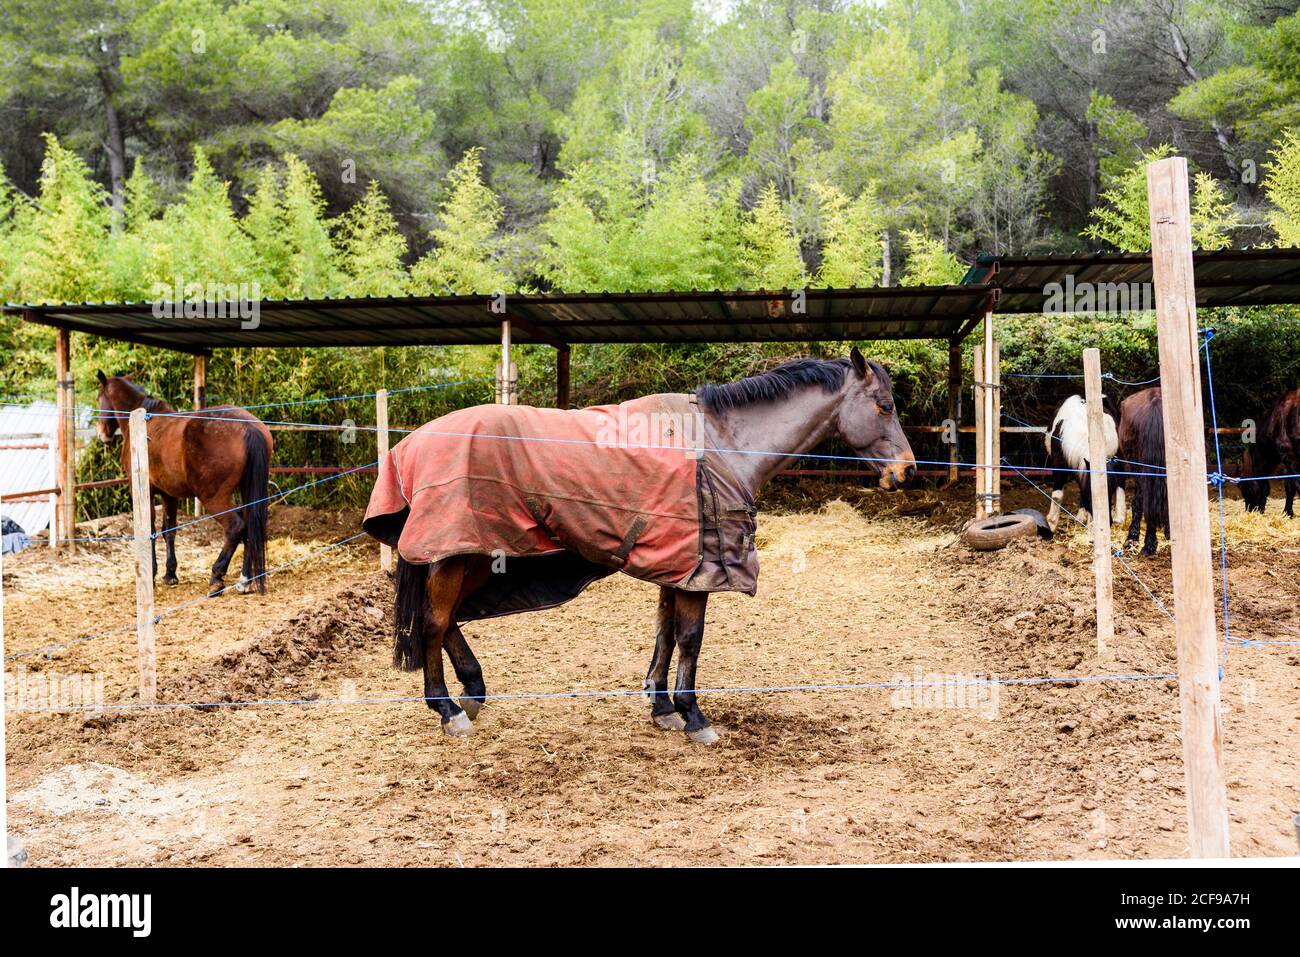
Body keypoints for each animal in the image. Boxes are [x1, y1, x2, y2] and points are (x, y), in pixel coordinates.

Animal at [94, 371, 273, 590]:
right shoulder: (169, 494)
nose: (101, 434)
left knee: (236, 527)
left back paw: (217, 576)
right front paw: (170, 573)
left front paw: (152, 573)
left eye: (98, 399)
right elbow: (168, 530)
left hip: (214, 498)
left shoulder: (149, 491)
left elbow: (152, 530)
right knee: (250, 527)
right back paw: (245, 580)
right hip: (247, 491)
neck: (145, 424)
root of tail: (247, 427)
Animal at [364, 351, 915, 748]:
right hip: (458, 554)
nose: (906, 470)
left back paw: (472, 691)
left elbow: (665, 634)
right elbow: (690, 639)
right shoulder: (701, 571)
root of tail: (413, 445)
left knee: (449, 619)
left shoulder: (679, 566)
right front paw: (693, 715)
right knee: (434, 621)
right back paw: (448, 709)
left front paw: (662, 707)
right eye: (884, 406)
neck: (723, 444)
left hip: (481, 554)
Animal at [1040, 395, 1123, 530]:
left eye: (1110, 493)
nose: (1108, 523)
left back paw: (1120, 517)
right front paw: (1051, 523)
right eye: (1093, 494)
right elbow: (1058, 494)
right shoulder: (1059, 463)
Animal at [1237, 387, 1300, 520]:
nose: (1249, 511)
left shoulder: (1289, 455)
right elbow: (1290, 485)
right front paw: (1288, 512)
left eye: (1241, 485)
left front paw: (1288, 512)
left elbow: (1293, 484)